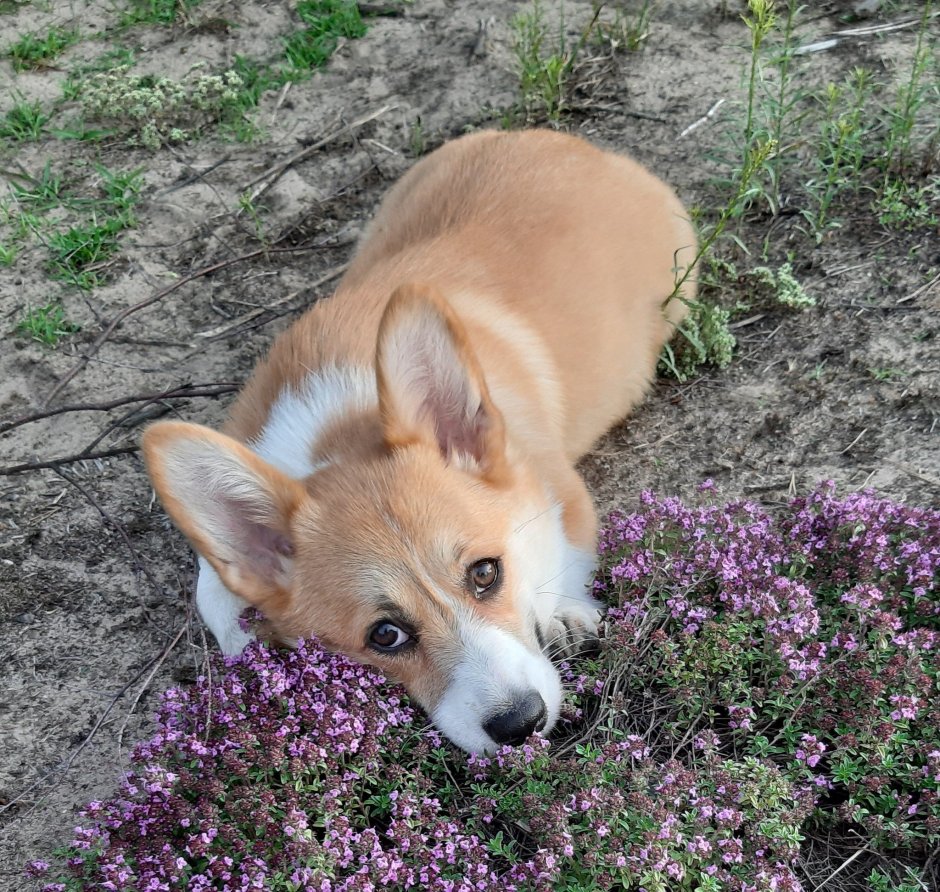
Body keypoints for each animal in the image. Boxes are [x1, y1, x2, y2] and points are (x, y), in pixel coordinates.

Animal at [141, 127, 696, 752]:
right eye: (385, 635)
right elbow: (211, 593)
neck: (332, 435)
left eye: (485, 573)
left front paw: (562, 614)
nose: (521, 724)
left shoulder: (554, 486)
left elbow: (563, 553)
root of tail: (564, 143)